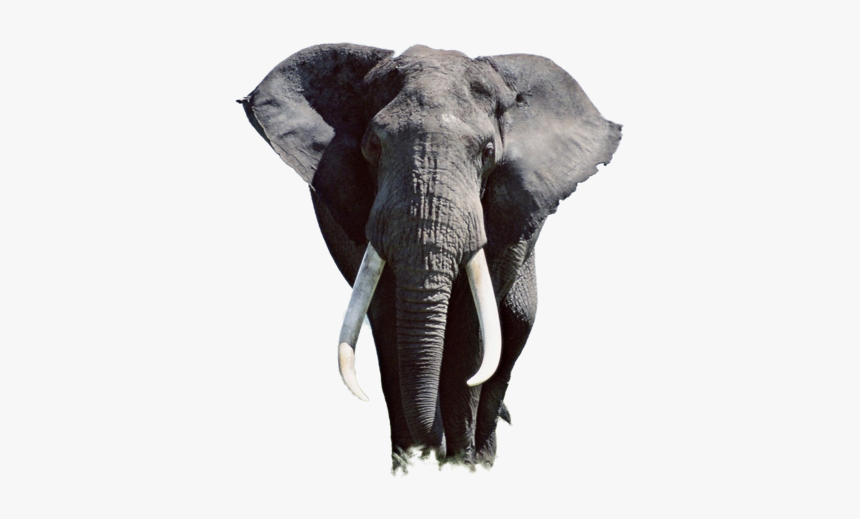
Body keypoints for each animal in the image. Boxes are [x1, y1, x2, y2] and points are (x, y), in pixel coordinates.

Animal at [240, 44, 621, 470]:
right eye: (373, 146)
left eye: (488, 152)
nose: (435, 454)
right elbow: (387, 317)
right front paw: (411, 467)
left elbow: (471, 328)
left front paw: (458, 466)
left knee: (516, 324)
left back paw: (483, 459)